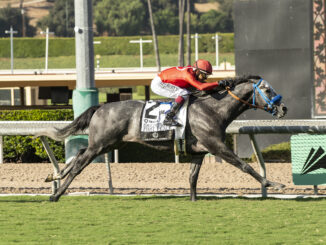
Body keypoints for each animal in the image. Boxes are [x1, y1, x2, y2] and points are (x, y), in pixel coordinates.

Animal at [37, 74, 288, 201]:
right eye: (267, 90)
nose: (283, 108)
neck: (213, 109)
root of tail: (100, 106)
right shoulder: (216, 146)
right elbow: (244, 166)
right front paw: (272, 183)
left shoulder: (200, 152)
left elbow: (192, 177)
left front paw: (194, 200)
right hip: (100, 144)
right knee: (80, 162)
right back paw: (56, 194)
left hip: (108, 143)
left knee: (79, 153)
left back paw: (55, 175)